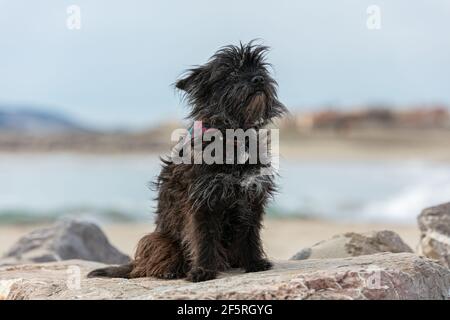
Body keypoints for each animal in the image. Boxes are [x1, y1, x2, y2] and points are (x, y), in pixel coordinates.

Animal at [87, 40, 284, 282]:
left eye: (259, 68)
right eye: (231, 73)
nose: (258, 79)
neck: (233, 136)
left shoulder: (252, 197)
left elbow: (250, 233)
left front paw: (254, 262)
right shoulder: (201, 200)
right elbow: (203, 237)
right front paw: (203, 270)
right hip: (159, 240)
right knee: (149, 265)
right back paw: (170, 271)